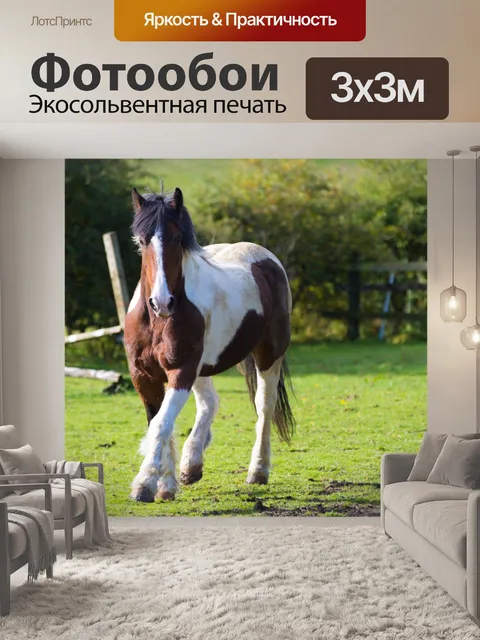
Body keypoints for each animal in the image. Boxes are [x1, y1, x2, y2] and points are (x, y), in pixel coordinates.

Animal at [124, 186, 295, 503]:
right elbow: (159, 422)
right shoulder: (143, 376)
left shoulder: (181, 371)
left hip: (268, 356)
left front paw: (145, 483)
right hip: (202, 368)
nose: (162, 302)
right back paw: (191, 465)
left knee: (264, 406)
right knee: (210, 403)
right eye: (142, 241)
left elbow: (161, 423)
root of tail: (265, 258)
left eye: (178, 238)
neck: (156, 321)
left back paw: (258, 470)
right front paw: (166, 484)